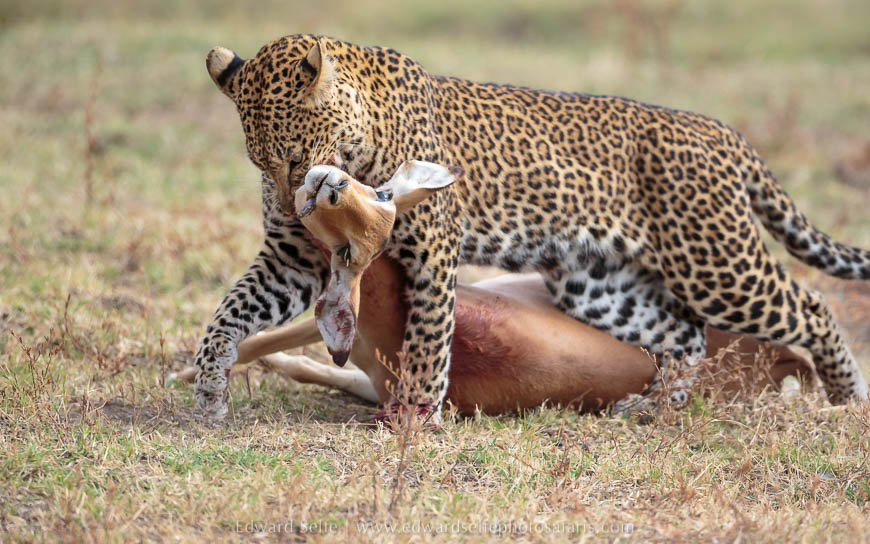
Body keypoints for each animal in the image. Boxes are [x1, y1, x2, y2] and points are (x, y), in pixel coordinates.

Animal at [193, 34, 870, 419]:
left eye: (293, 158)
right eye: (260, 164)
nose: (294, 209)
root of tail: (723, 132)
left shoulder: (433, 248)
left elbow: (429, 331)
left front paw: (419, 410)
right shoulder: (293, 258)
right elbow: (231, 313)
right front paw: (208, 389)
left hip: (715, 264)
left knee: (811, 307)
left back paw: (846, 399)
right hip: (595, 285)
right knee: (685, 336)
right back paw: (648, 409)